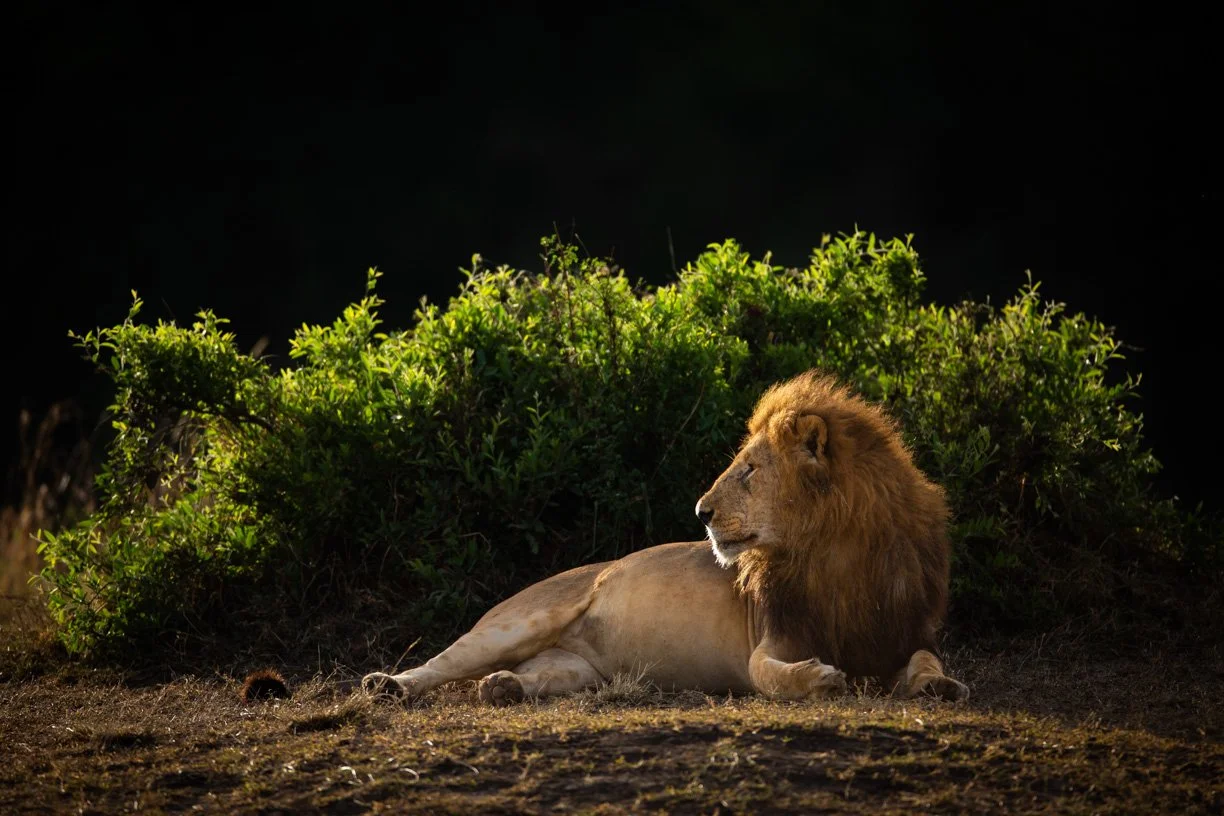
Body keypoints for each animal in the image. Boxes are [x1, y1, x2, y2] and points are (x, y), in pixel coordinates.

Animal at [363, 370, 968, 704]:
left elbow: (926, 660)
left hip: (572, 671)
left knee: (529, 678)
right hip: (517, 622)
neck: (834, 553)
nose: (700, 512)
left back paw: (502, 689)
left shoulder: (903, 631)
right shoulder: (770, 638)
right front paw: (819, 678)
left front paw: (939, 686)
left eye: (750, 470)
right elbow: (767, 674)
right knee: (441, 662)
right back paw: (388, 686)